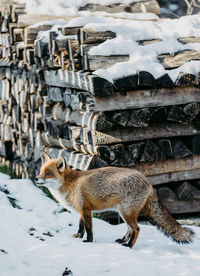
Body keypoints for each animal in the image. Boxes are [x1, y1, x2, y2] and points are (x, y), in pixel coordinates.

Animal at [34, 152, 194, 249]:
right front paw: (78, 237)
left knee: (137, 229)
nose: (36, 179)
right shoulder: (81, 210)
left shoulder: (86, 209)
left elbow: (89, 229)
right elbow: (81, 227)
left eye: (48, 174)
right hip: (123, 213)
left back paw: (128, 246)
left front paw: (88, 242)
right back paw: (122, 241)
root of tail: (148, 182)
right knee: (130, 229)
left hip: (126, 212)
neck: (70, 183)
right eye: (41, 172)